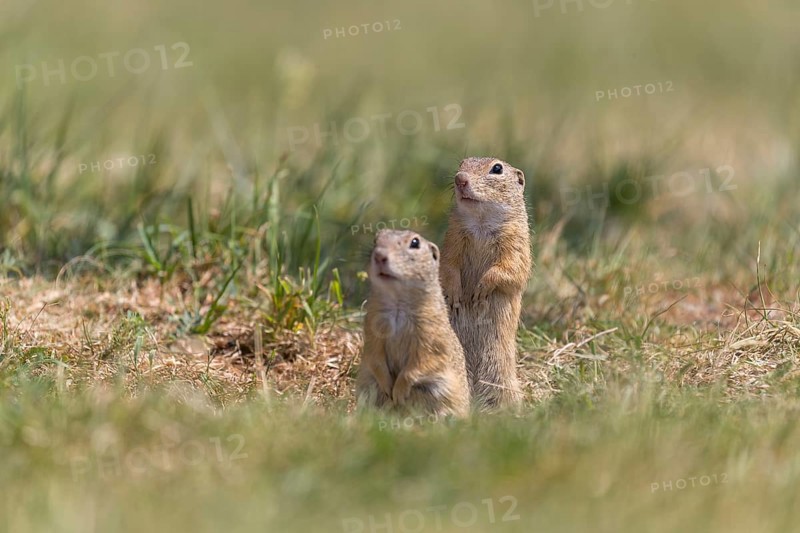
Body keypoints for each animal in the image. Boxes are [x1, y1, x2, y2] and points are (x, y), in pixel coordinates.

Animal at [356, 229, 470, 418]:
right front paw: (387, 386)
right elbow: (374, 356)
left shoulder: (430, 335)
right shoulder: (373, 328)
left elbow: (420, 363)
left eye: (415, 243)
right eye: (375, 240)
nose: (379, 256)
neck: (398, 303)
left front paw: (399, 391)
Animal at [439, 157, 532, 409]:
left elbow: (510, 269)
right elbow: (448, 266)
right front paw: (455, 294)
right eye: (462, 163)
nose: (459, 179)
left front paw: (481, 290)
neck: (481, 223)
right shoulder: (453, 238)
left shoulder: (516, 244)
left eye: (497, 168)